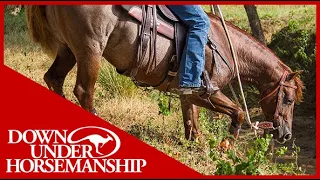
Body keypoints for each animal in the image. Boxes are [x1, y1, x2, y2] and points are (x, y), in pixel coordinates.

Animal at [25, 4, 302, 144]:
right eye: (288, 100)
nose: (286, 134)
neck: (224, 44)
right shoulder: (206, 92)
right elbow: (239, 112)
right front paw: (226, 148)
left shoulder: (187, 93)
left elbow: (191, 123)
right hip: (90, 49)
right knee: (84, 91)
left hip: (68, 50)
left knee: (54, 79)